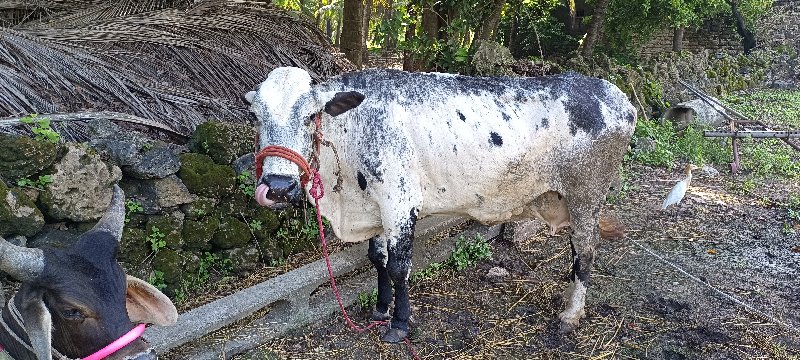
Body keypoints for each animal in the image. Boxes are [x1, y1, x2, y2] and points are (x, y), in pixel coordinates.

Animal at [247, 68, 636, 344]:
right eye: (256, 116)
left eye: (310, 115)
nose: (278, 187)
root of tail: (619, 97)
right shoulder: (376, 210)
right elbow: (377, 260)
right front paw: (380, 309)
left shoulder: (400, 203)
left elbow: (398, 268)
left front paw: (400, 324)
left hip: (587, 197)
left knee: (586, 251)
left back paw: (571, 313)